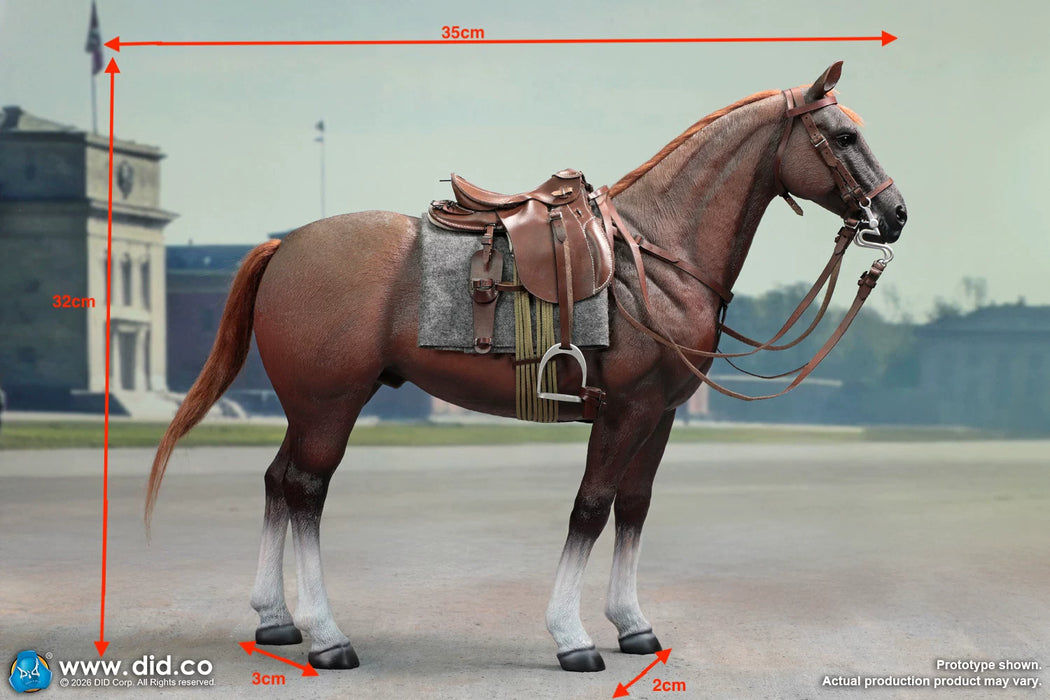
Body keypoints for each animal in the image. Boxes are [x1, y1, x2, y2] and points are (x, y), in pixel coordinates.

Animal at [146, 62, 906, 672]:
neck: (657, 257)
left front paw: (633, 625)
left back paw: (275, 620)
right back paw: (328, 637)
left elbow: (634, 506)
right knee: (306, 491)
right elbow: (591, 507)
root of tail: (284, 245)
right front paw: (572, 637)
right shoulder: (625, 411)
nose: (896, 213)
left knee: (278, 483)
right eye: (843, 137)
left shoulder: (660, 415)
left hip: (306, 407)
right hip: (331, 405)